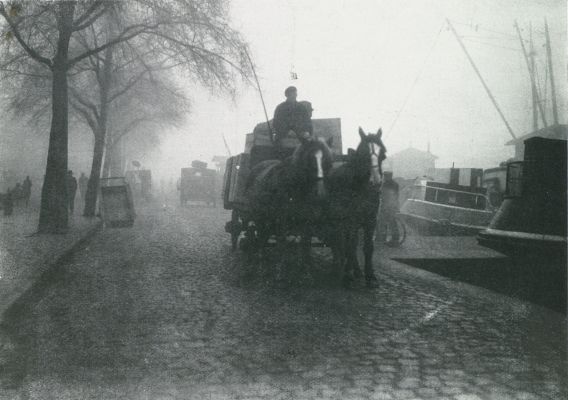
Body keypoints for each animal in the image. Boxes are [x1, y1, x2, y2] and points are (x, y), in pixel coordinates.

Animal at [326, 126, 388, 286]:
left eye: (383, 155)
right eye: (363, 154)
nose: (376, 182)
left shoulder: (372, 220)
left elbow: (368, 247)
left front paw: (370, 275)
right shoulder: (351, 220)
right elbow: (352, 244)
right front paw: (348, 274)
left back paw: (355, 269)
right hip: (336, 221)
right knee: (338, 241)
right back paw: (338, 266)